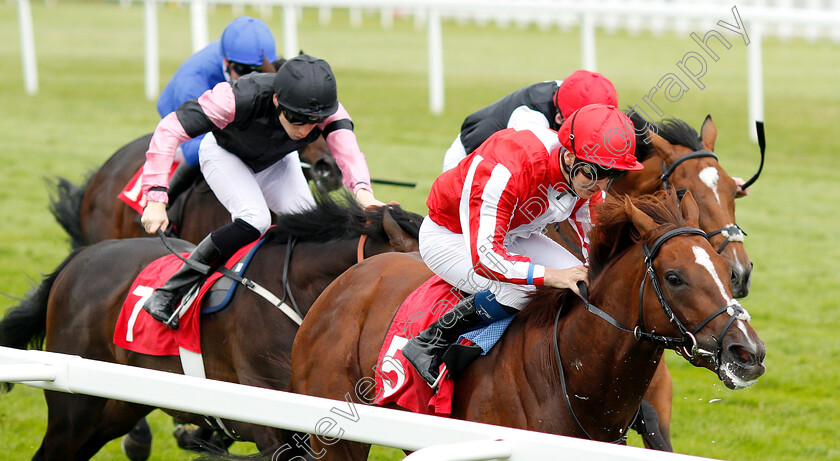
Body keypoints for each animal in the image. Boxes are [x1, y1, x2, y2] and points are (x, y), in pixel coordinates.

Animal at [290, 189, 768, 458]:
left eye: (724, 271)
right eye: (674, 277)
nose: (748, 352)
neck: (568, 375)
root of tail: (346, 281)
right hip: (338, 437)